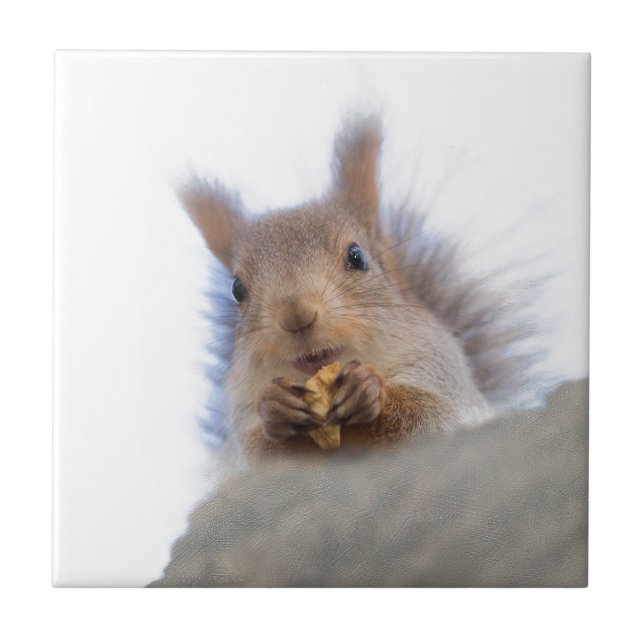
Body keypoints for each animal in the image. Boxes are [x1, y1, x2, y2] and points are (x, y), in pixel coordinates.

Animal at [179, 115, 526, 457]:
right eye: (236, 289)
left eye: (357, 256)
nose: (296, 317)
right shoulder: (241, 421)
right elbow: (258, 448)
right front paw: (274, 408)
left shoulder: (440, 370)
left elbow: (430, 413)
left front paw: (368, 389)